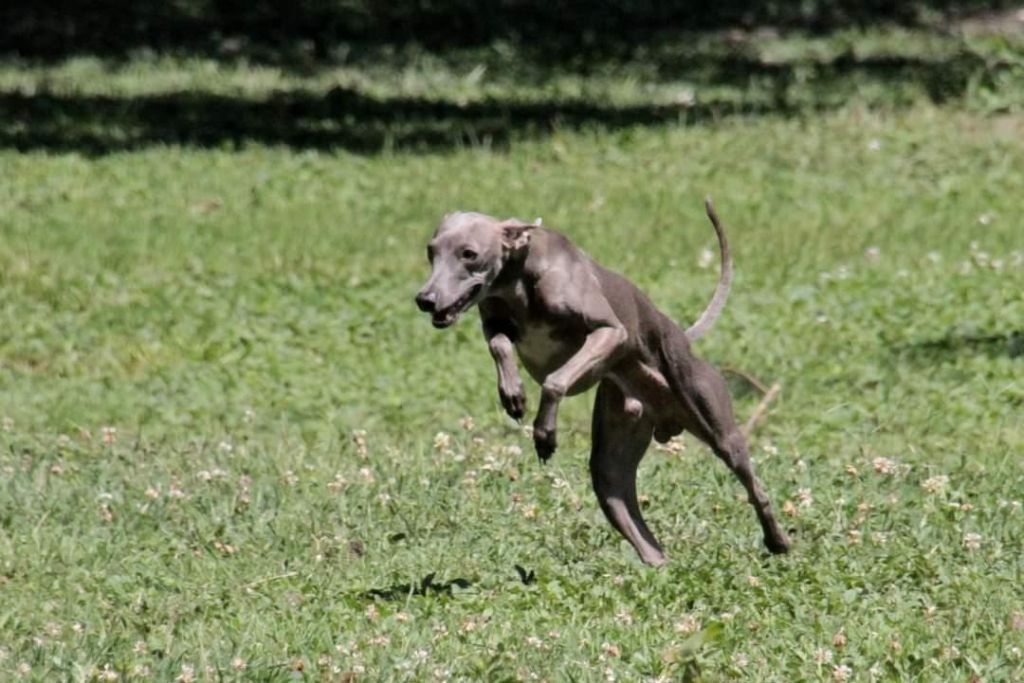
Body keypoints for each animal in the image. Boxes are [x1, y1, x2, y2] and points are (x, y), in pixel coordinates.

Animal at [415, 201, 790, 565]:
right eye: (431, 251)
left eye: (469, 254)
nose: (425, 299)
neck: (519, 282)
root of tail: (683, 338)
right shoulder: (494, 320)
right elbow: (500, 344)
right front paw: (513, 394)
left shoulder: (609, 332)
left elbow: (555, 380)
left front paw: (544, 433)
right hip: (610, 469)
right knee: (645, 539)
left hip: (718, 426)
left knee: (756, 489)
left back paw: (778, 541)